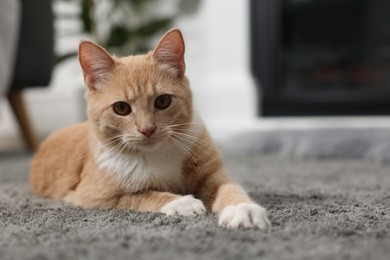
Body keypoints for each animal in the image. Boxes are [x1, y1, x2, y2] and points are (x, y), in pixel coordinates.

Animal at [29, 28, 272, 230]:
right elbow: (142, 195)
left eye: (163, 101)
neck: (157, 154)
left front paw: (243, 209)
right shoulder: (91, 196)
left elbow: (231, 189)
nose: (147, 129)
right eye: (121, 108)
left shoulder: (216, 176)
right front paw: (181, 202)